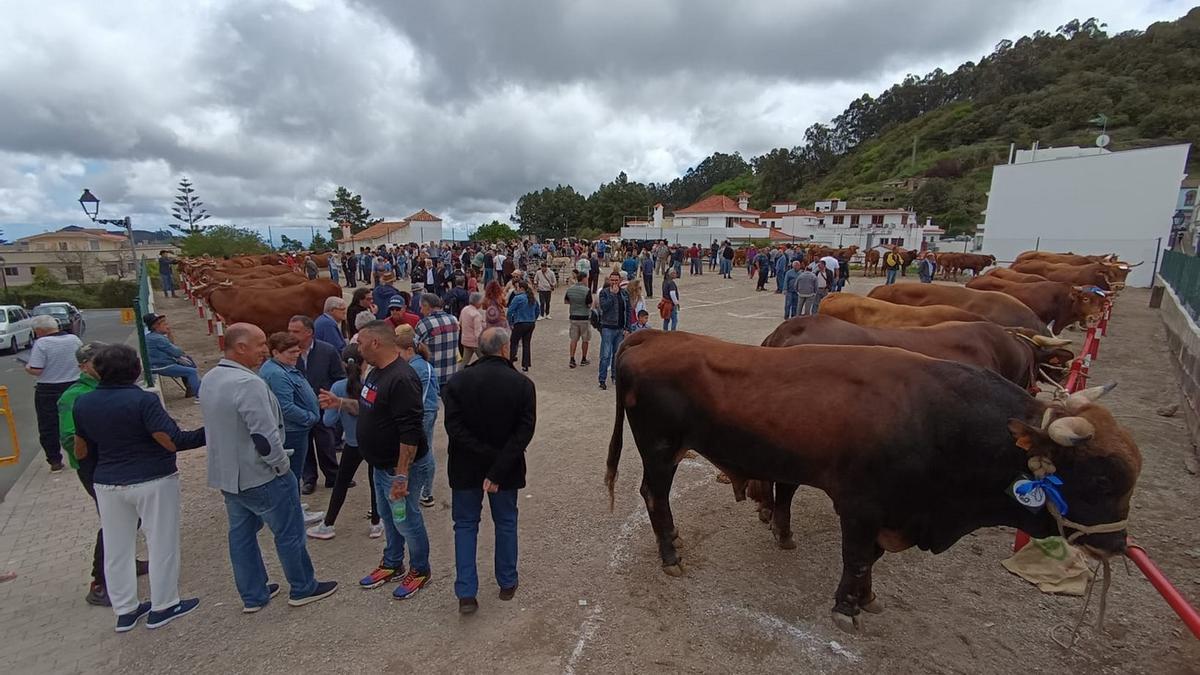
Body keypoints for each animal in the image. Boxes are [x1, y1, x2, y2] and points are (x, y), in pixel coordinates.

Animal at [609, 331, 1142, 629]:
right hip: (660, 451)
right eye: (1100, 482)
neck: (936, 420)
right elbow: (859, 558)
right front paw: (847, 608)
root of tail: (651, 336)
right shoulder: (860, 508)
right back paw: (671, 555)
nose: (1117, 545)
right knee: (654, 497)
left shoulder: (893, 512)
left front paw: (867, 599)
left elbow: (873, 562)